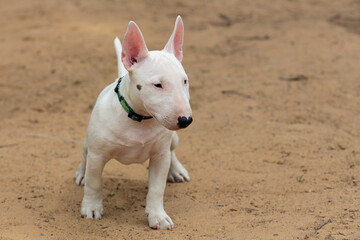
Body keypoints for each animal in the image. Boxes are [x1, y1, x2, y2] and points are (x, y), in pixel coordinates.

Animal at [74, 15, 193, 230]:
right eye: (157, 85)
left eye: (185, 81)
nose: (185, 120)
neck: (140, 120)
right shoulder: (97, 154)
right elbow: (94, 183)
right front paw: (91, 208)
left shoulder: (160, 156)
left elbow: (157, 188)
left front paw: (158, 217)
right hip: (88, 142)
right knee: (85, 156)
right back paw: (81, 173)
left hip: (173, 139)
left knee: (172, 151)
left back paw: (177, 170)